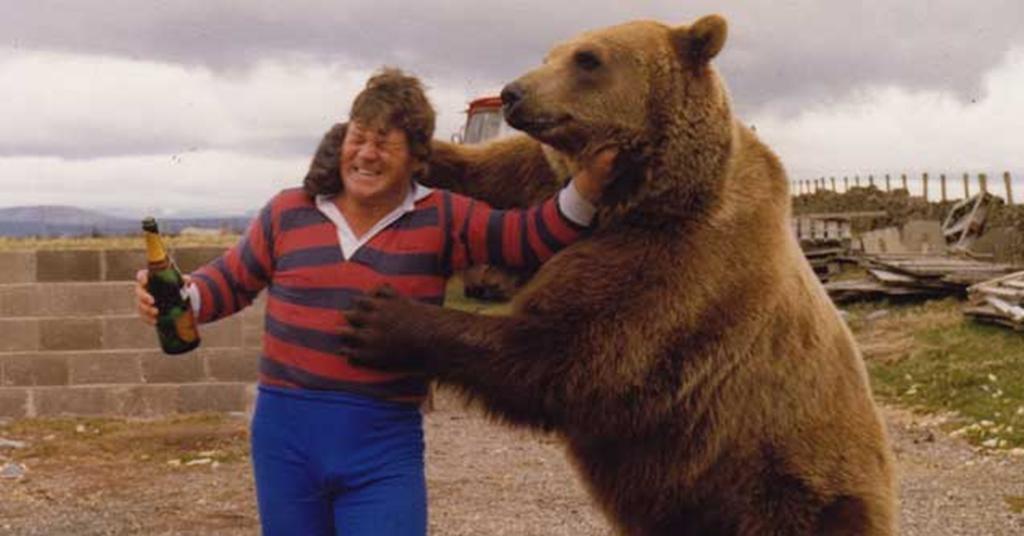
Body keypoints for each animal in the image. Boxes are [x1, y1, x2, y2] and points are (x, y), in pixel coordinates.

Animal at [311, 14, 898, 535]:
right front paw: (340, 148)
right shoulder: (548, 186)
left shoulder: (680, 267)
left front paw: (382, 320)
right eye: (551, 52)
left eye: (588, 58)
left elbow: (570, 352)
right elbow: (499, 194)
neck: (643, 196)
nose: (513, 93)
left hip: (786, 480)